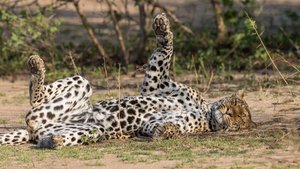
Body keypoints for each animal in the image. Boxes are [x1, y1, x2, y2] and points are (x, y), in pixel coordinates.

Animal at [0, 13, 258, 149]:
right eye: (234, 104)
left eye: (240, 121)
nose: (228, 113)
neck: (205, 110)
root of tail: (34, 129)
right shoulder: (156, 85)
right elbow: (164, 53)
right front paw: (162, 28)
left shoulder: (155, 121)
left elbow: (166, 126)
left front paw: (167, 131)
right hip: (81, 84)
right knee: (38, 96)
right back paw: (36, 66)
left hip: (93, 129)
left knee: (43, 124)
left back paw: (53, 140)